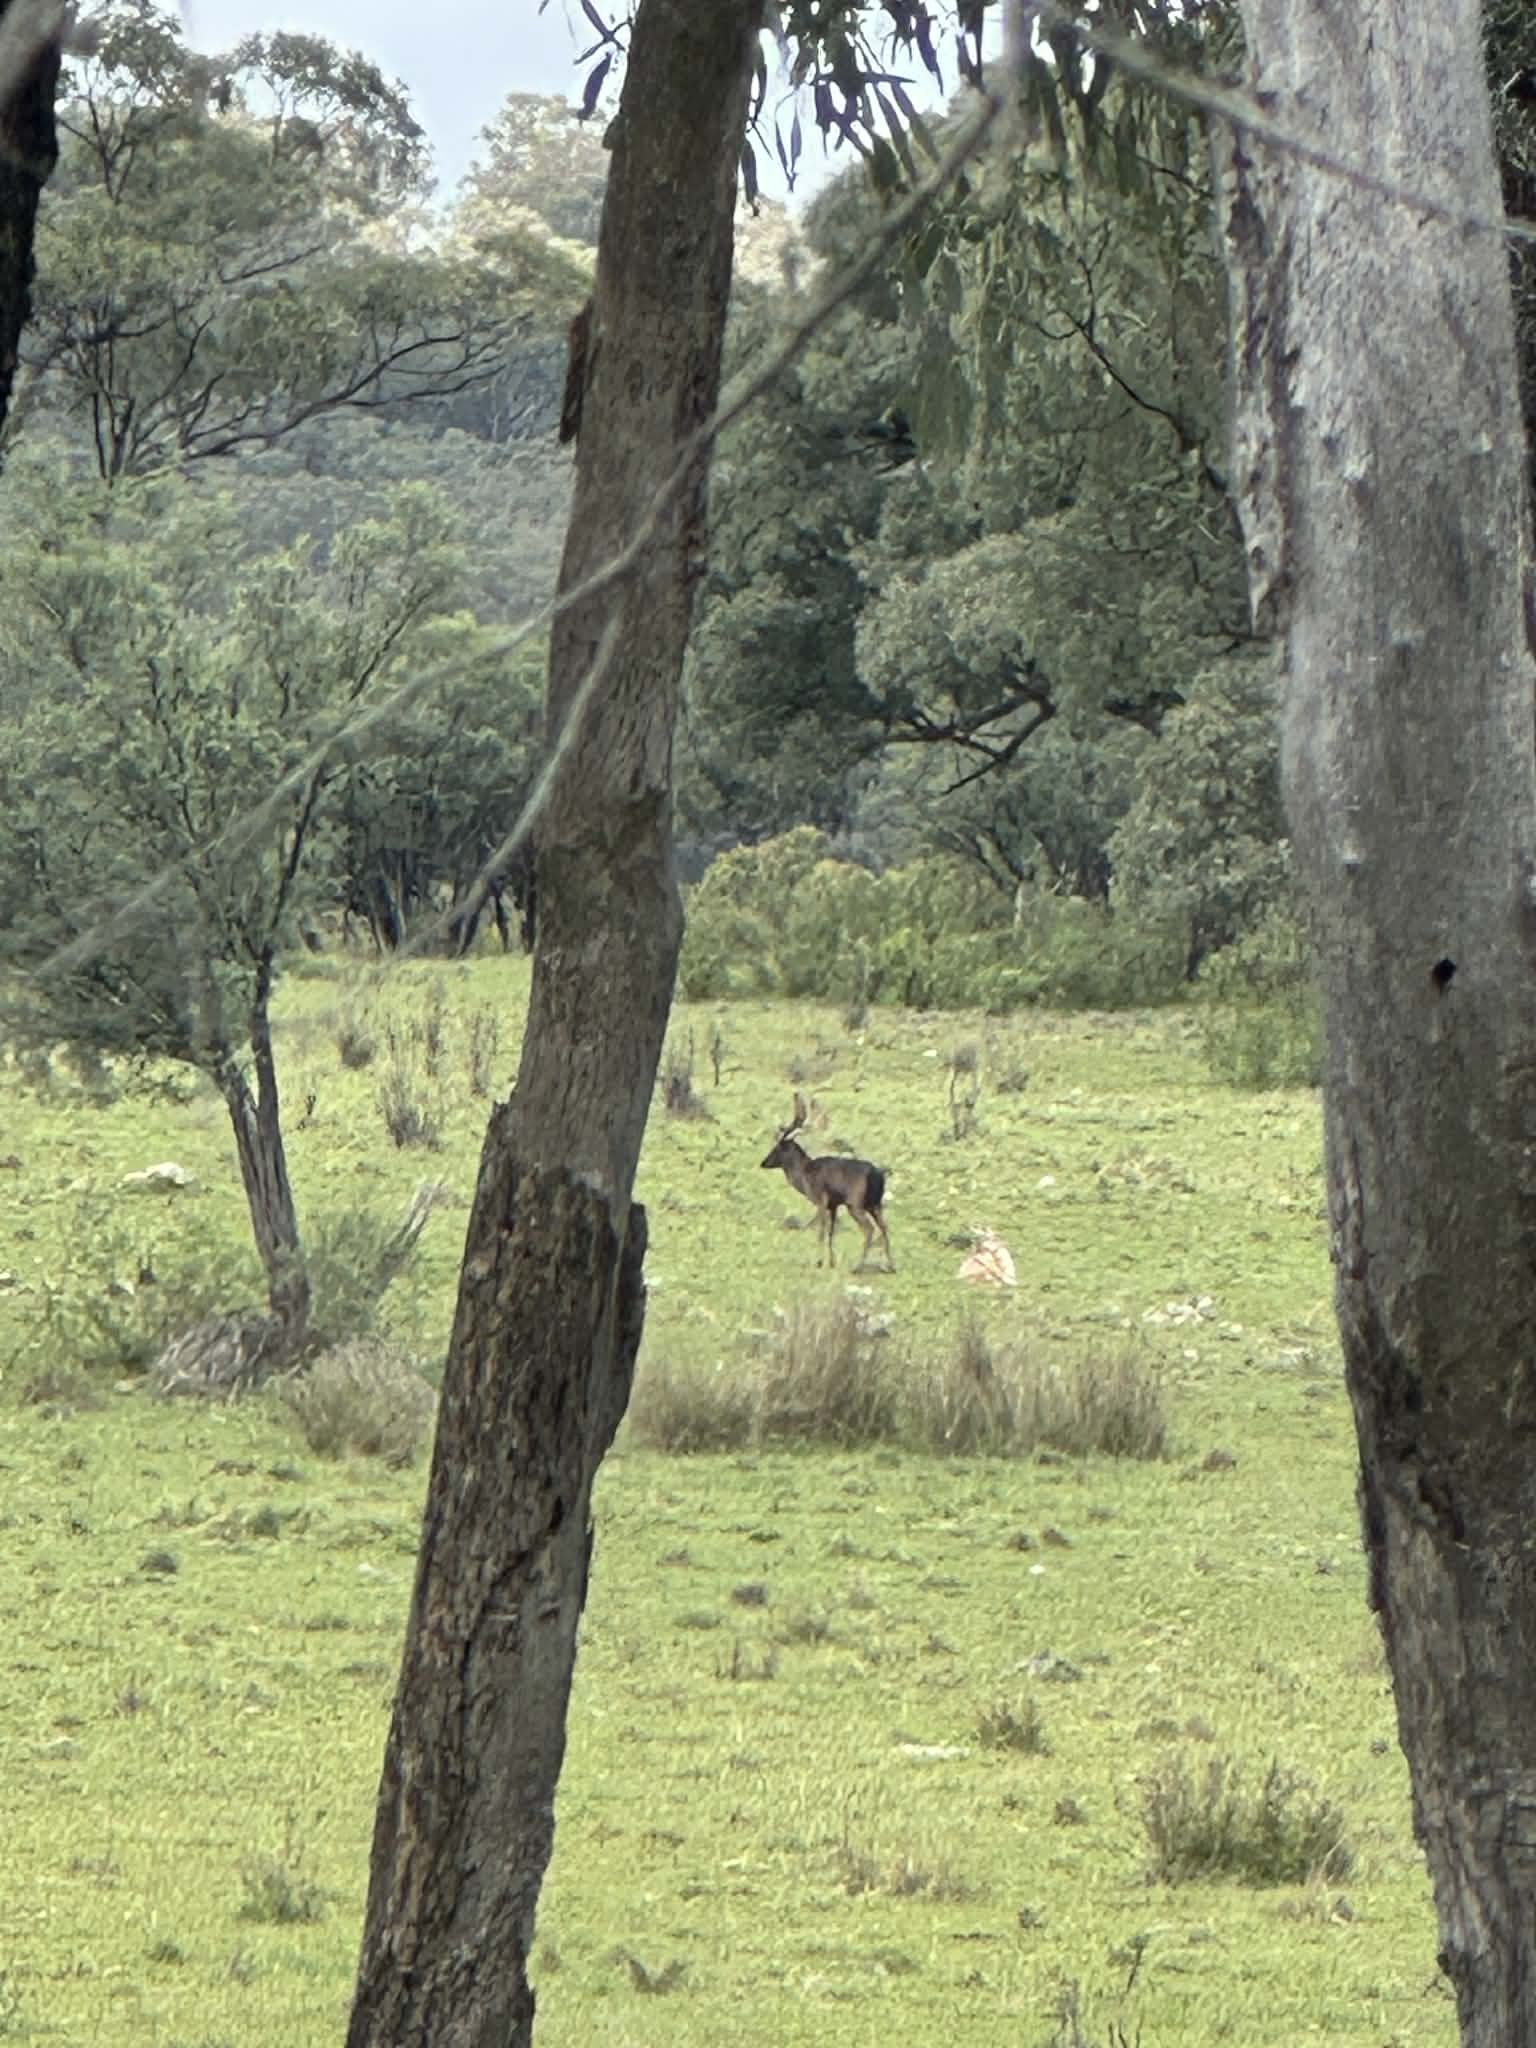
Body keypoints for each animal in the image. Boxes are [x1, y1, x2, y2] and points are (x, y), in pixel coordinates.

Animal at [760, 1093, 894, 1272]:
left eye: (778, 1147)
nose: (763, 1162)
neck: (804, 1176)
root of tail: (878, 1175)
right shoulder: (834, 1204)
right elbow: (831, 1232)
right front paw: (831, 1262)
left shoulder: (821, 1200)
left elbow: (821, 1231)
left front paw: (818, 1262)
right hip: (875, 1204)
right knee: (884, 1227)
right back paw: (891, 1265)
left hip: (855, 1203)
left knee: (869, 1229)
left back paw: (858, 1266)